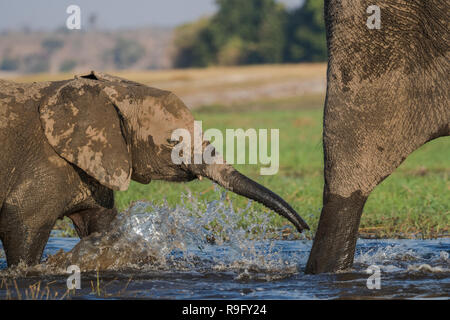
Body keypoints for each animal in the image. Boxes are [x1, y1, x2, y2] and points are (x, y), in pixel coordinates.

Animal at [0, 71, 310, 266]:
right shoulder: (47, 161)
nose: (304, 228)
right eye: (173, 142)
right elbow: (22, 222)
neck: (105, 92)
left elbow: (101, 226)